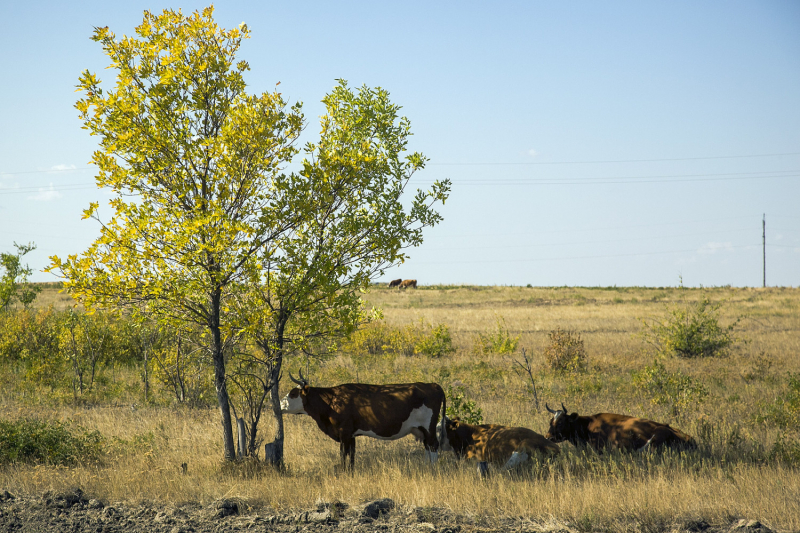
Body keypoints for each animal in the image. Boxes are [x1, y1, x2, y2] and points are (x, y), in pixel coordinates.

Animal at [280, 372, 444, 468]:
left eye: (293, 393)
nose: (280, 405)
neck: (332, 401)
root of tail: (432, 385)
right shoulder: (351, 435)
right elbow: (351, 456)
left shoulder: (344, 433)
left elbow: (343, 455)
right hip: (421, 430)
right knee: (427, 446)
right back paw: (426, 467)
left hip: (429, 427)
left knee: (433, 445)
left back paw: (433, 469)